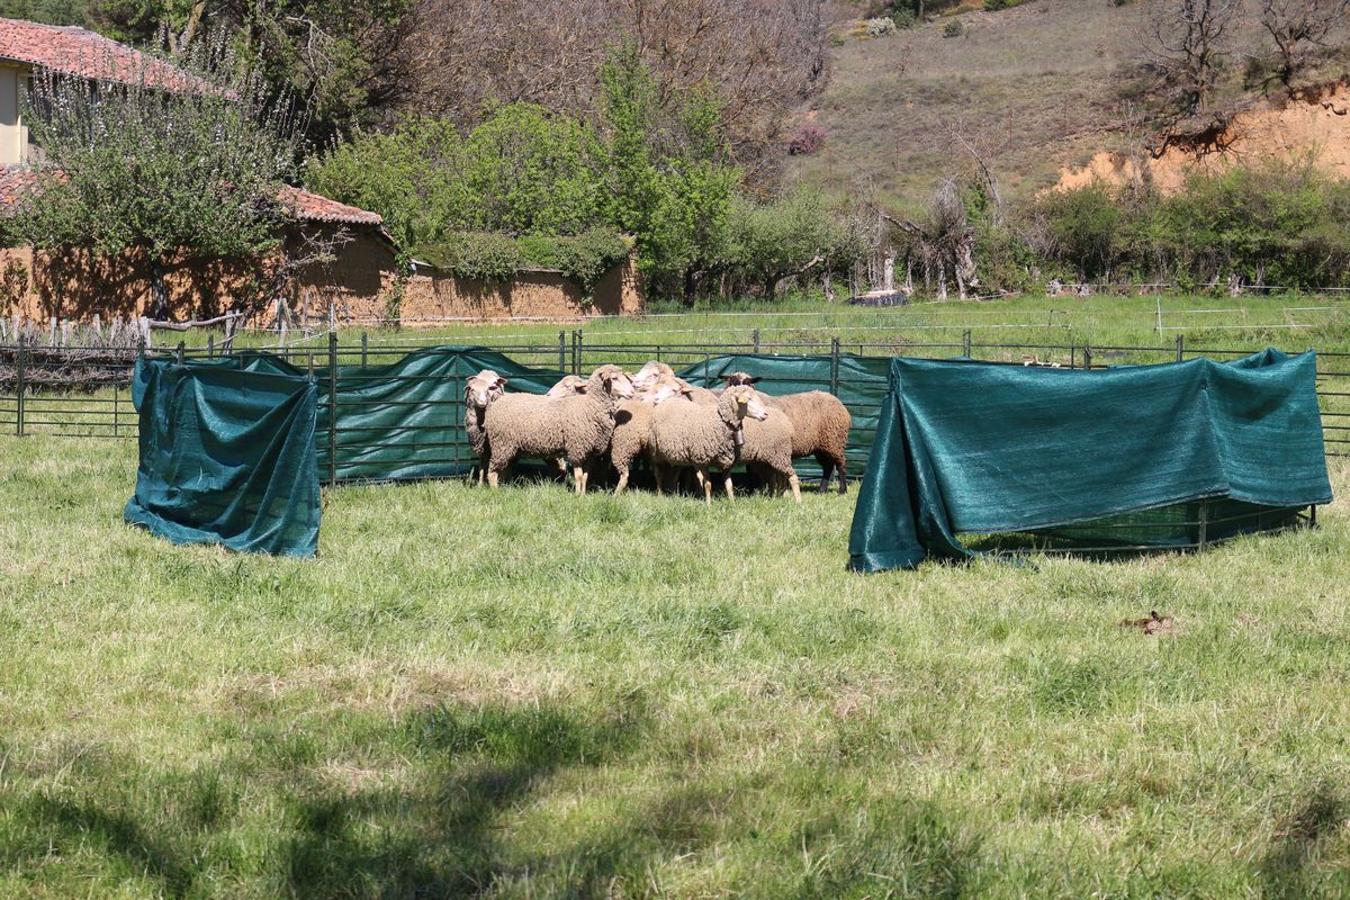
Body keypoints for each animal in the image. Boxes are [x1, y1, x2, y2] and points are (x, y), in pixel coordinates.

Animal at [483, 361, 634, 496]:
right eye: (614, 378)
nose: (632, 393)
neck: (590, 405)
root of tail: (496, 403)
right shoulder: (576, 448)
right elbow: (579, 476)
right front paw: (577, 496)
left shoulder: (590, 452)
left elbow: (585, 476)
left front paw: (584, 495)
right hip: (501, 443)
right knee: (492, 470)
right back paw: (495, 491)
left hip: (511, 448)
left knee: (503, 469)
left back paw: (504, 487)